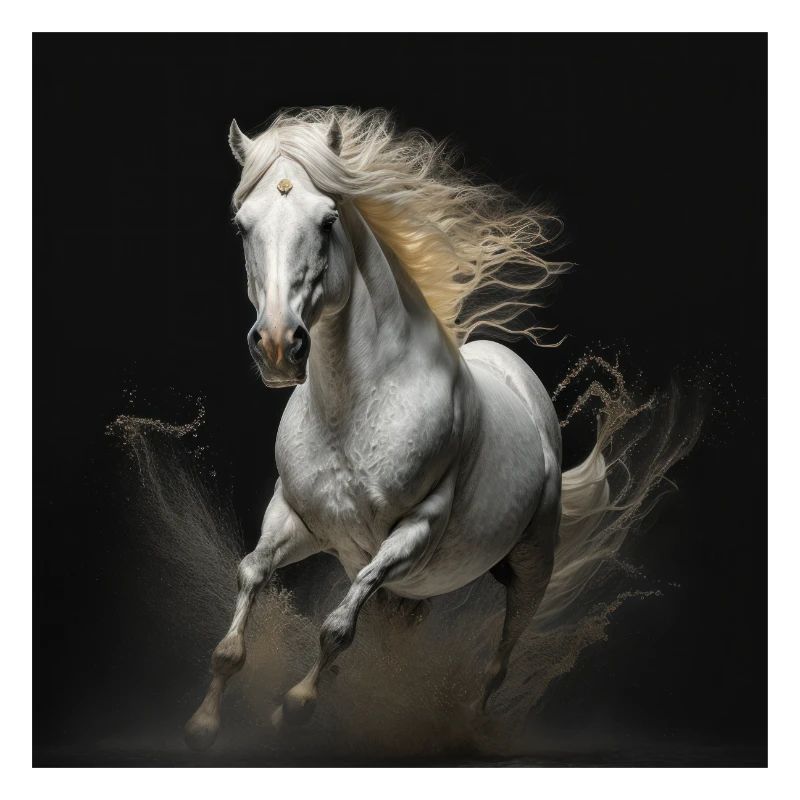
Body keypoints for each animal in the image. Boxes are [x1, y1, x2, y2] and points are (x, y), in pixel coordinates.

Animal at [184, 108, 609, 751]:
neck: (351, 413)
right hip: (408, 597)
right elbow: (250, 574)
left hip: (532, 564)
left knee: (500, 661)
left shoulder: (414, 533)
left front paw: (295, 708)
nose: (279, 346)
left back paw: (469, 728)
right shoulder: (300, 519)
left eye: (328, 219)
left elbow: (337, 627)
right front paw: (204, 722)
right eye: (241, 226)